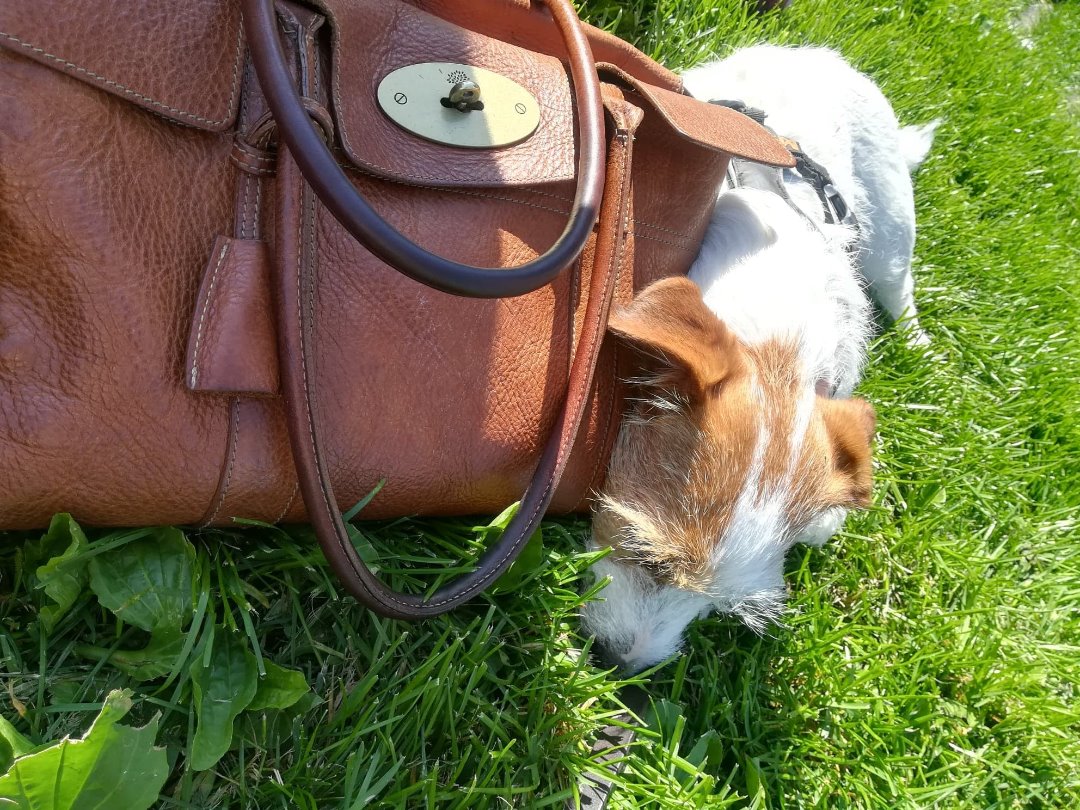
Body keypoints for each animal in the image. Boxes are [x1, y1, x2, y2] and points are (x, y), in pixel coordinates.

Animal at [581, 45, 938, 673]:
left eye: (717, 609)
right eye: (645, 555)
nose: (623, 667)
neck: (778, 326)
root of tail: (840, 68)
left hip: (892, 237)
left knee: (903, 291)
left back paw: (919, 345)